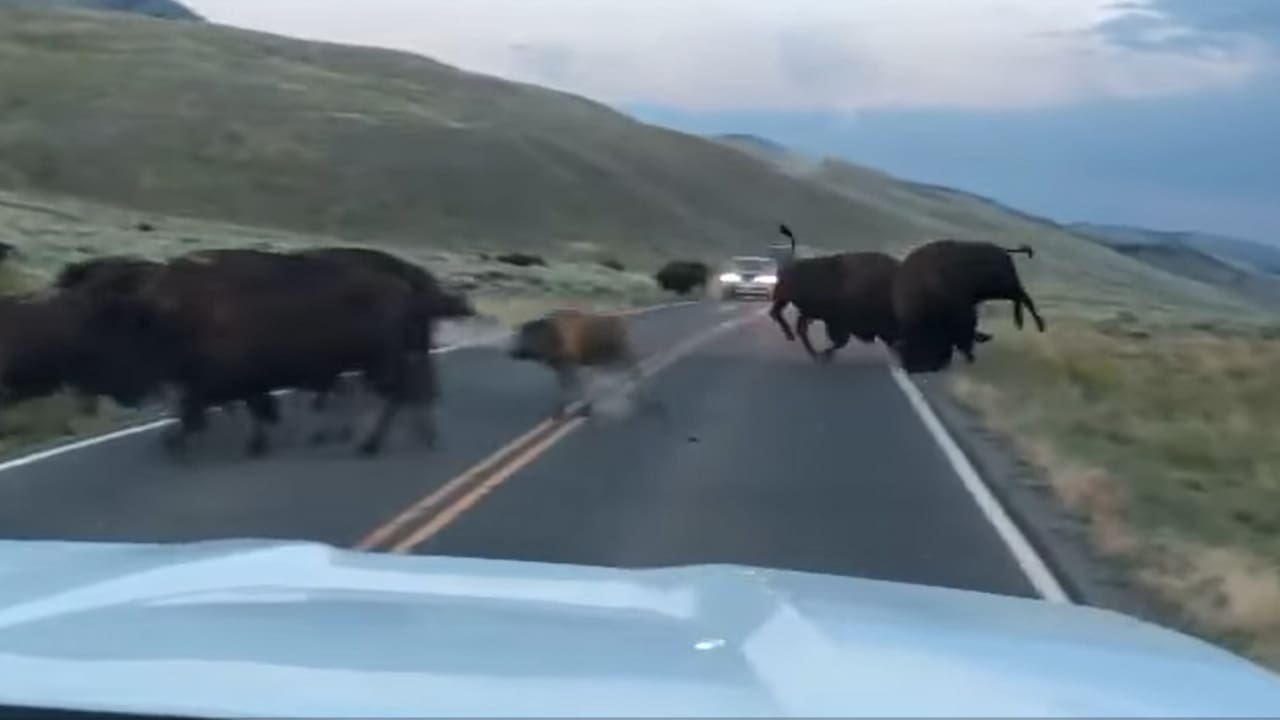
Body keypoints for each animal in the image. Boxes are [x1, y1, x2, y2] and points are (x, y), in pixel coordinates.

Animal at [509, 307, 645, 417]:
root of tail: (623, 324)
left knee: (635, 369)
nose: (513, 352)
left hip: (622, 353)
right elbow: (566, 387)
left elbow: (574, 387)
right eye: (521, 334)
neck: (554, 335)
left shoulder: (570, 365)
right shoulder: (561, 367)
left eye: (531, 335)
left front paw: (582, 409)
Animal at [890, 239, 1049, 371]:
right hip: (1000, 291)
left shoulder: (963, 314)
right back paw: (1020, 323)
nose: (910, 366)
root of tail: (1003, 250)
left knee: (1024, 297)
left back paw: (1036, 325)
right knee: (1021, 298)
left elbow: (968, 333)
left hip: (1006, 287)